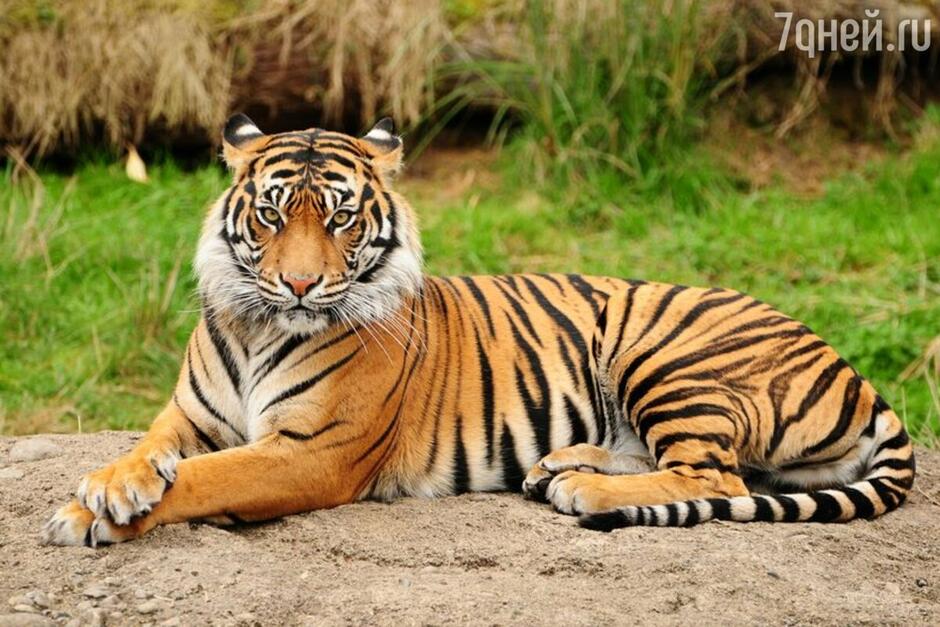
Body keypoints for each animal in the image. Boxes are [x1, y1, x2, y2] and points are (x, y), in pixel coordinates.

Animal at [42, 114, 915, 546]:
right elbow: (151, 451)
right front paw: (108, 487)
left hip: (664, 351)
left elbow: (207, 478)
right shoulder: (188, 415)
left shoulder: (312, 451)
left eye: (340, 219)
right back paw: (559, 465)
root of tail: (854, 369)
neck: (260, 325)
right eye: (271, 214)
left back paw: (583, 487)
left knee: (719, 477)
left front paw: (93, 514)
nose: (299, 283)